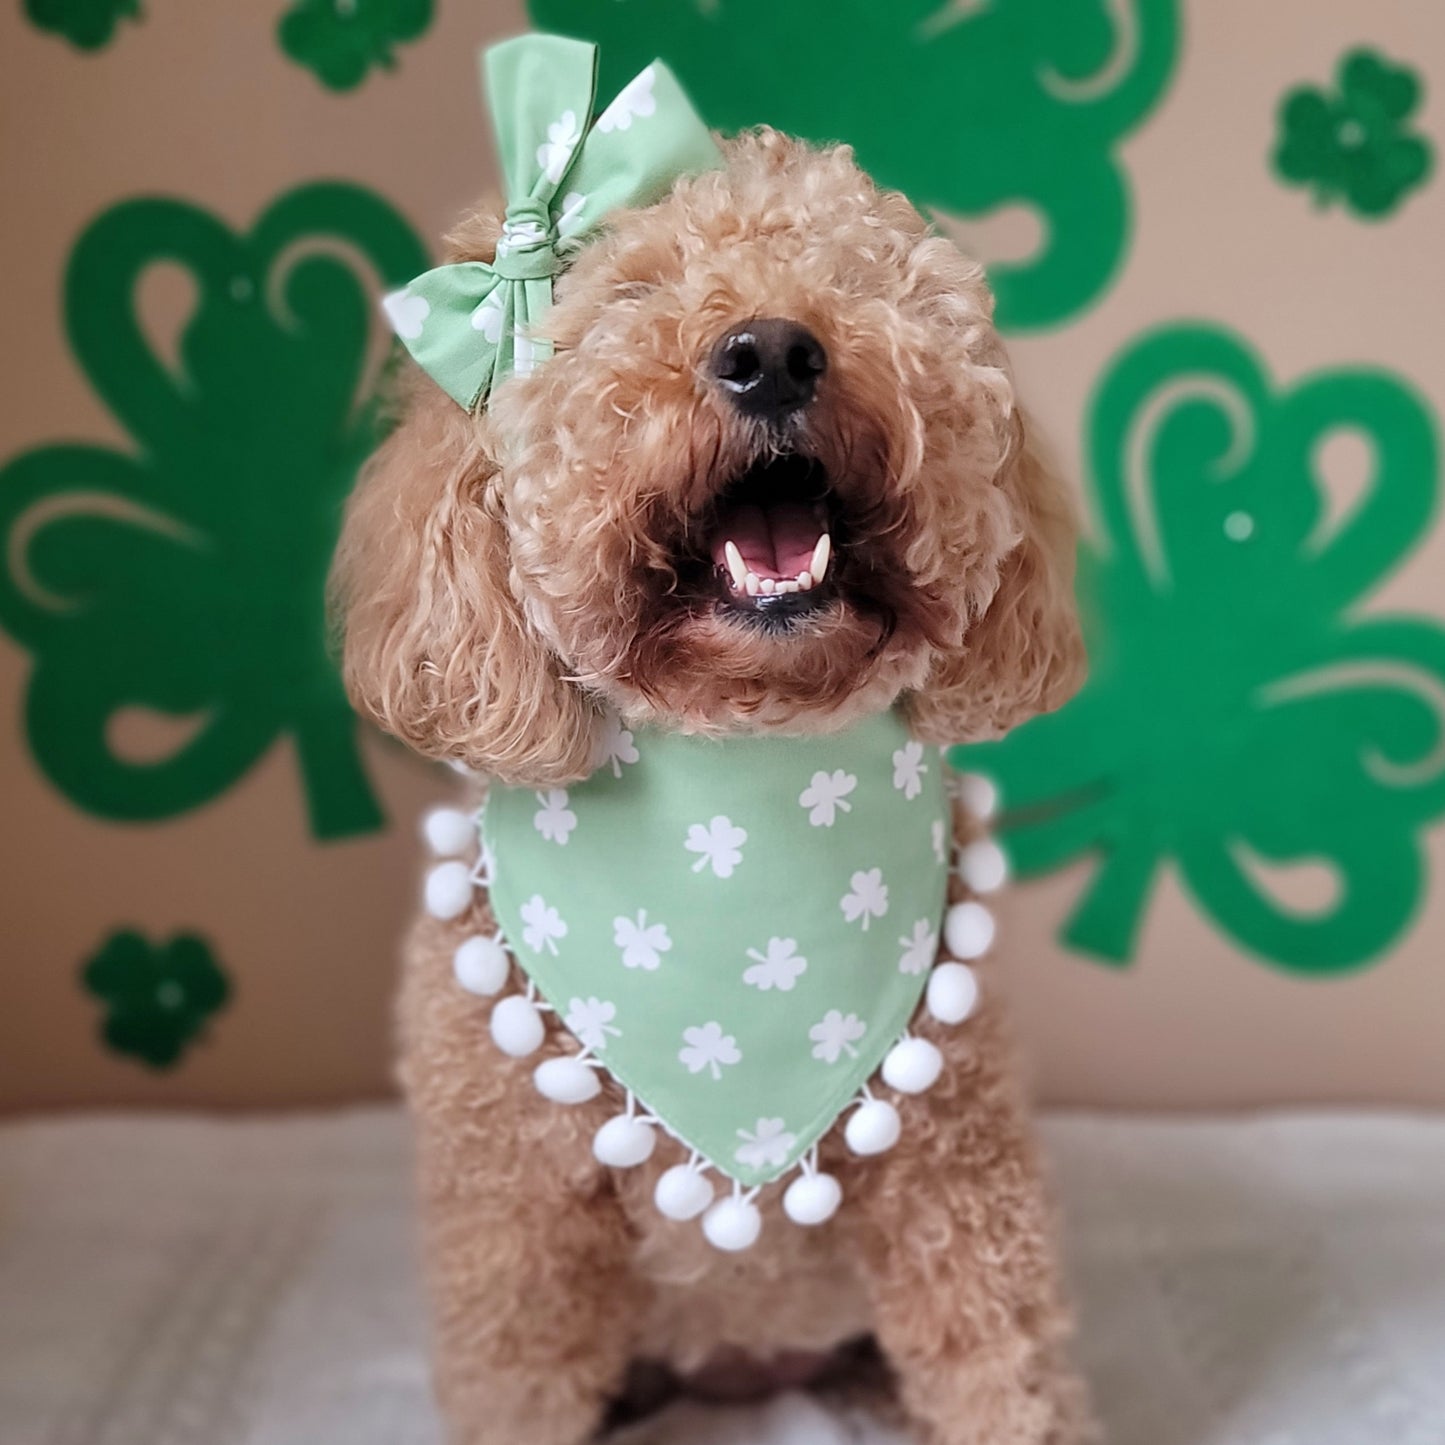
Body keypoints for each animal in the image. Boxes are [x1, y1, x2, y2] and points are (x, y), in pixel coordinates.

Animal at [332, 121, 1086, 1445]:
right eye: (627, 295)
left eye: (857, 276)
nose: (770, 353)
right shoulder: (516, 1214)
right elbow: (517, 1373)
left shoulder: (954, 1167)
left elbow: (1000, 1354)